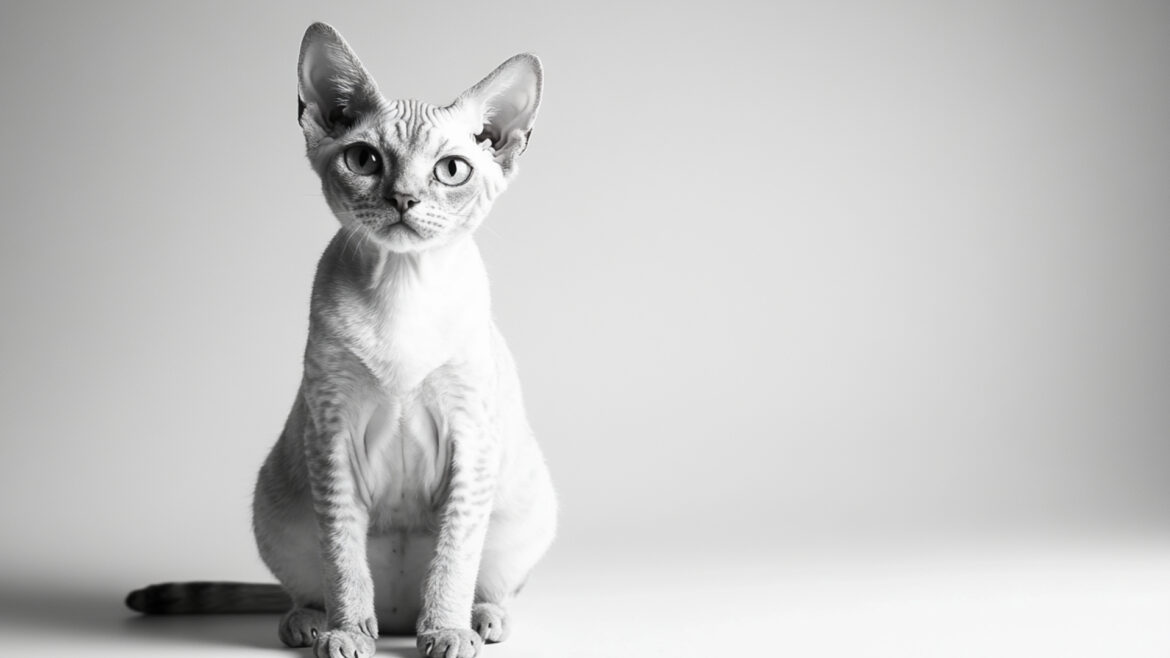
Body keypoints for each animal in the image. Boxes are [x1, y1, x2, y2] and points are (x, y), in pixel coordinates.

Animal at [125, 22, 557, 658]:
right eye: (364, 159)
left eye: (451, 170)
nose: (403, 198)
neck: (403, 288)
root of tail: (400, 612)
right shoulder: (333, 434)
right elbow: (343, 559)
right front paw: (348, 633)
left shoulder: (470, 436)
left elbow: (453, 560)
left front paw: (445, 632)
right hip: (276, 505)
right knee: (306, 587)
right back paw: (310, 624)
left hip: (524, 510)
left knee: (489, 582)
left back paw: (479, 620)